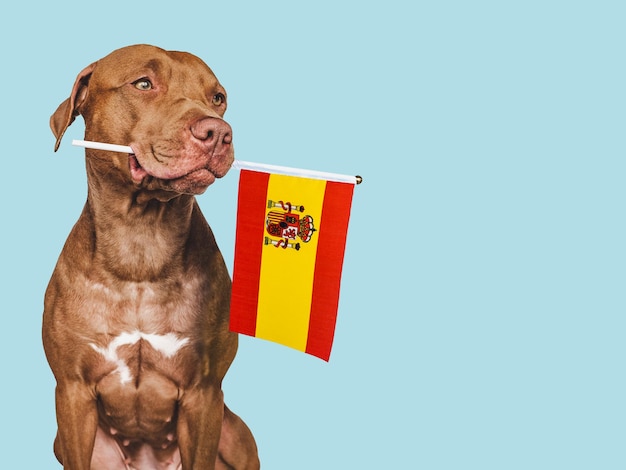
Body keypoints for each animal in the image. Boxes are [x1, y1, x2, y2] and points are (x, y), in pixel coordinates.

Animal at [43, 45, 258, 470]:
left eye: (218, 98)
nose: (218, 133)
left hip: (236, 434)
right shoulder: (72, 393)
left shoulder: (204, 394)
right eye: (143, 84)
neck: (141, 246)